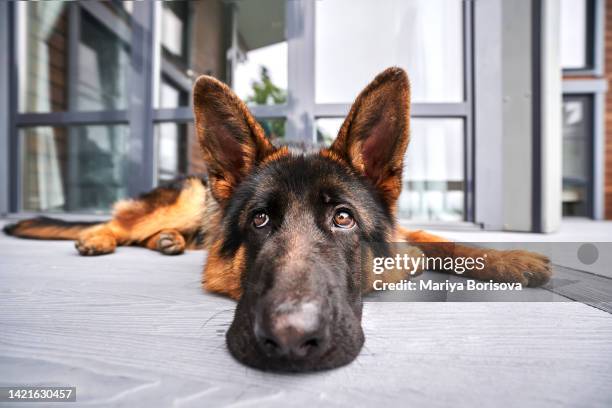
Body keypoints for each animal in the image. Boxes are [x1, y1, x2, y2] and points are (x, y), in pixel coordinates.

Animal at [3, 67, 548, 372]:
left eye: (344, 218)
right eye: (260, 219)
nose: (289, 338)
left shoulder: (405, 236)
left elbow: (441, 239)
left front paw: (509, 258)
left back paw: (168, 241)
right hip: (187, 196)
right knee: (124, 222)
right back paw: (101, 237)